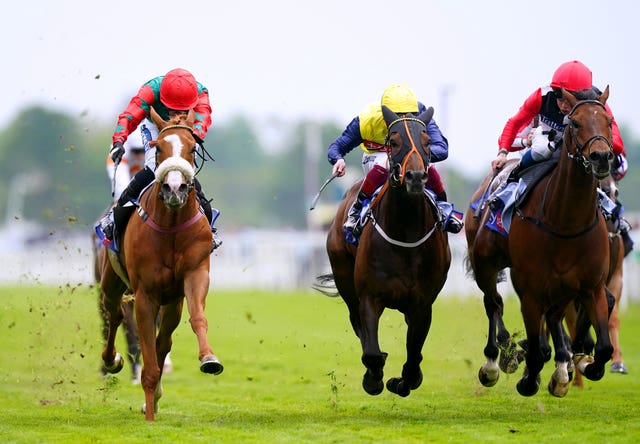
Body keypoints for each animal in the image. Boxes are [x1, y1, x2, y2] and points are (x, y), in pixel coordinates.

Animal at [98, 107, 222, 420]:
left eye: (192, 148)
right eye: (159, 147)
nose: (174, 188)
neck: (172, 225)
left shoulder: (194, 275)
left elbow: (196, 318)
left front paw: (209, 358)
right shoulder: (145, 294)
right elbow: (147, 355)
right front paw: (150, 417)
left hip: (171, 301)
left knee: (163, 340)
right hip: (110, 282)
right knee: (114, 314)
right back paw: (111, 360)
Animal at [320, 106, 450, 398]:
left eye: (427, 142)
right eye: (394, 141)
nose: (415, 177)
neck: (405, 233)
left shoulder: (422, 305)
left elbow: (413, 357)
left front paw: (401, 381)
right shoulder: (370, 297)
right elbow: (371, 351)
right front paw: (374, 377)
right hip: (345, 280)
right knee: (356, 322)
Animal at [464, 86, 616, 396]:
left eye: (608, 121)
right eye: (576, 123)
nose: (601, 157)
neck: (566, 221)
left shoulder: (590, 284)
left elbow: (605, 346)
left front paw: (583, 362)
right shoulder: (531, 291)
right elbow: (533, 348)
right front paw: (528, 375)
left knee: (553, 315)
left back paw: (562, 365)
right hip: (485, 263)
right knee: (493, 302)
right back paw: (495, 361)